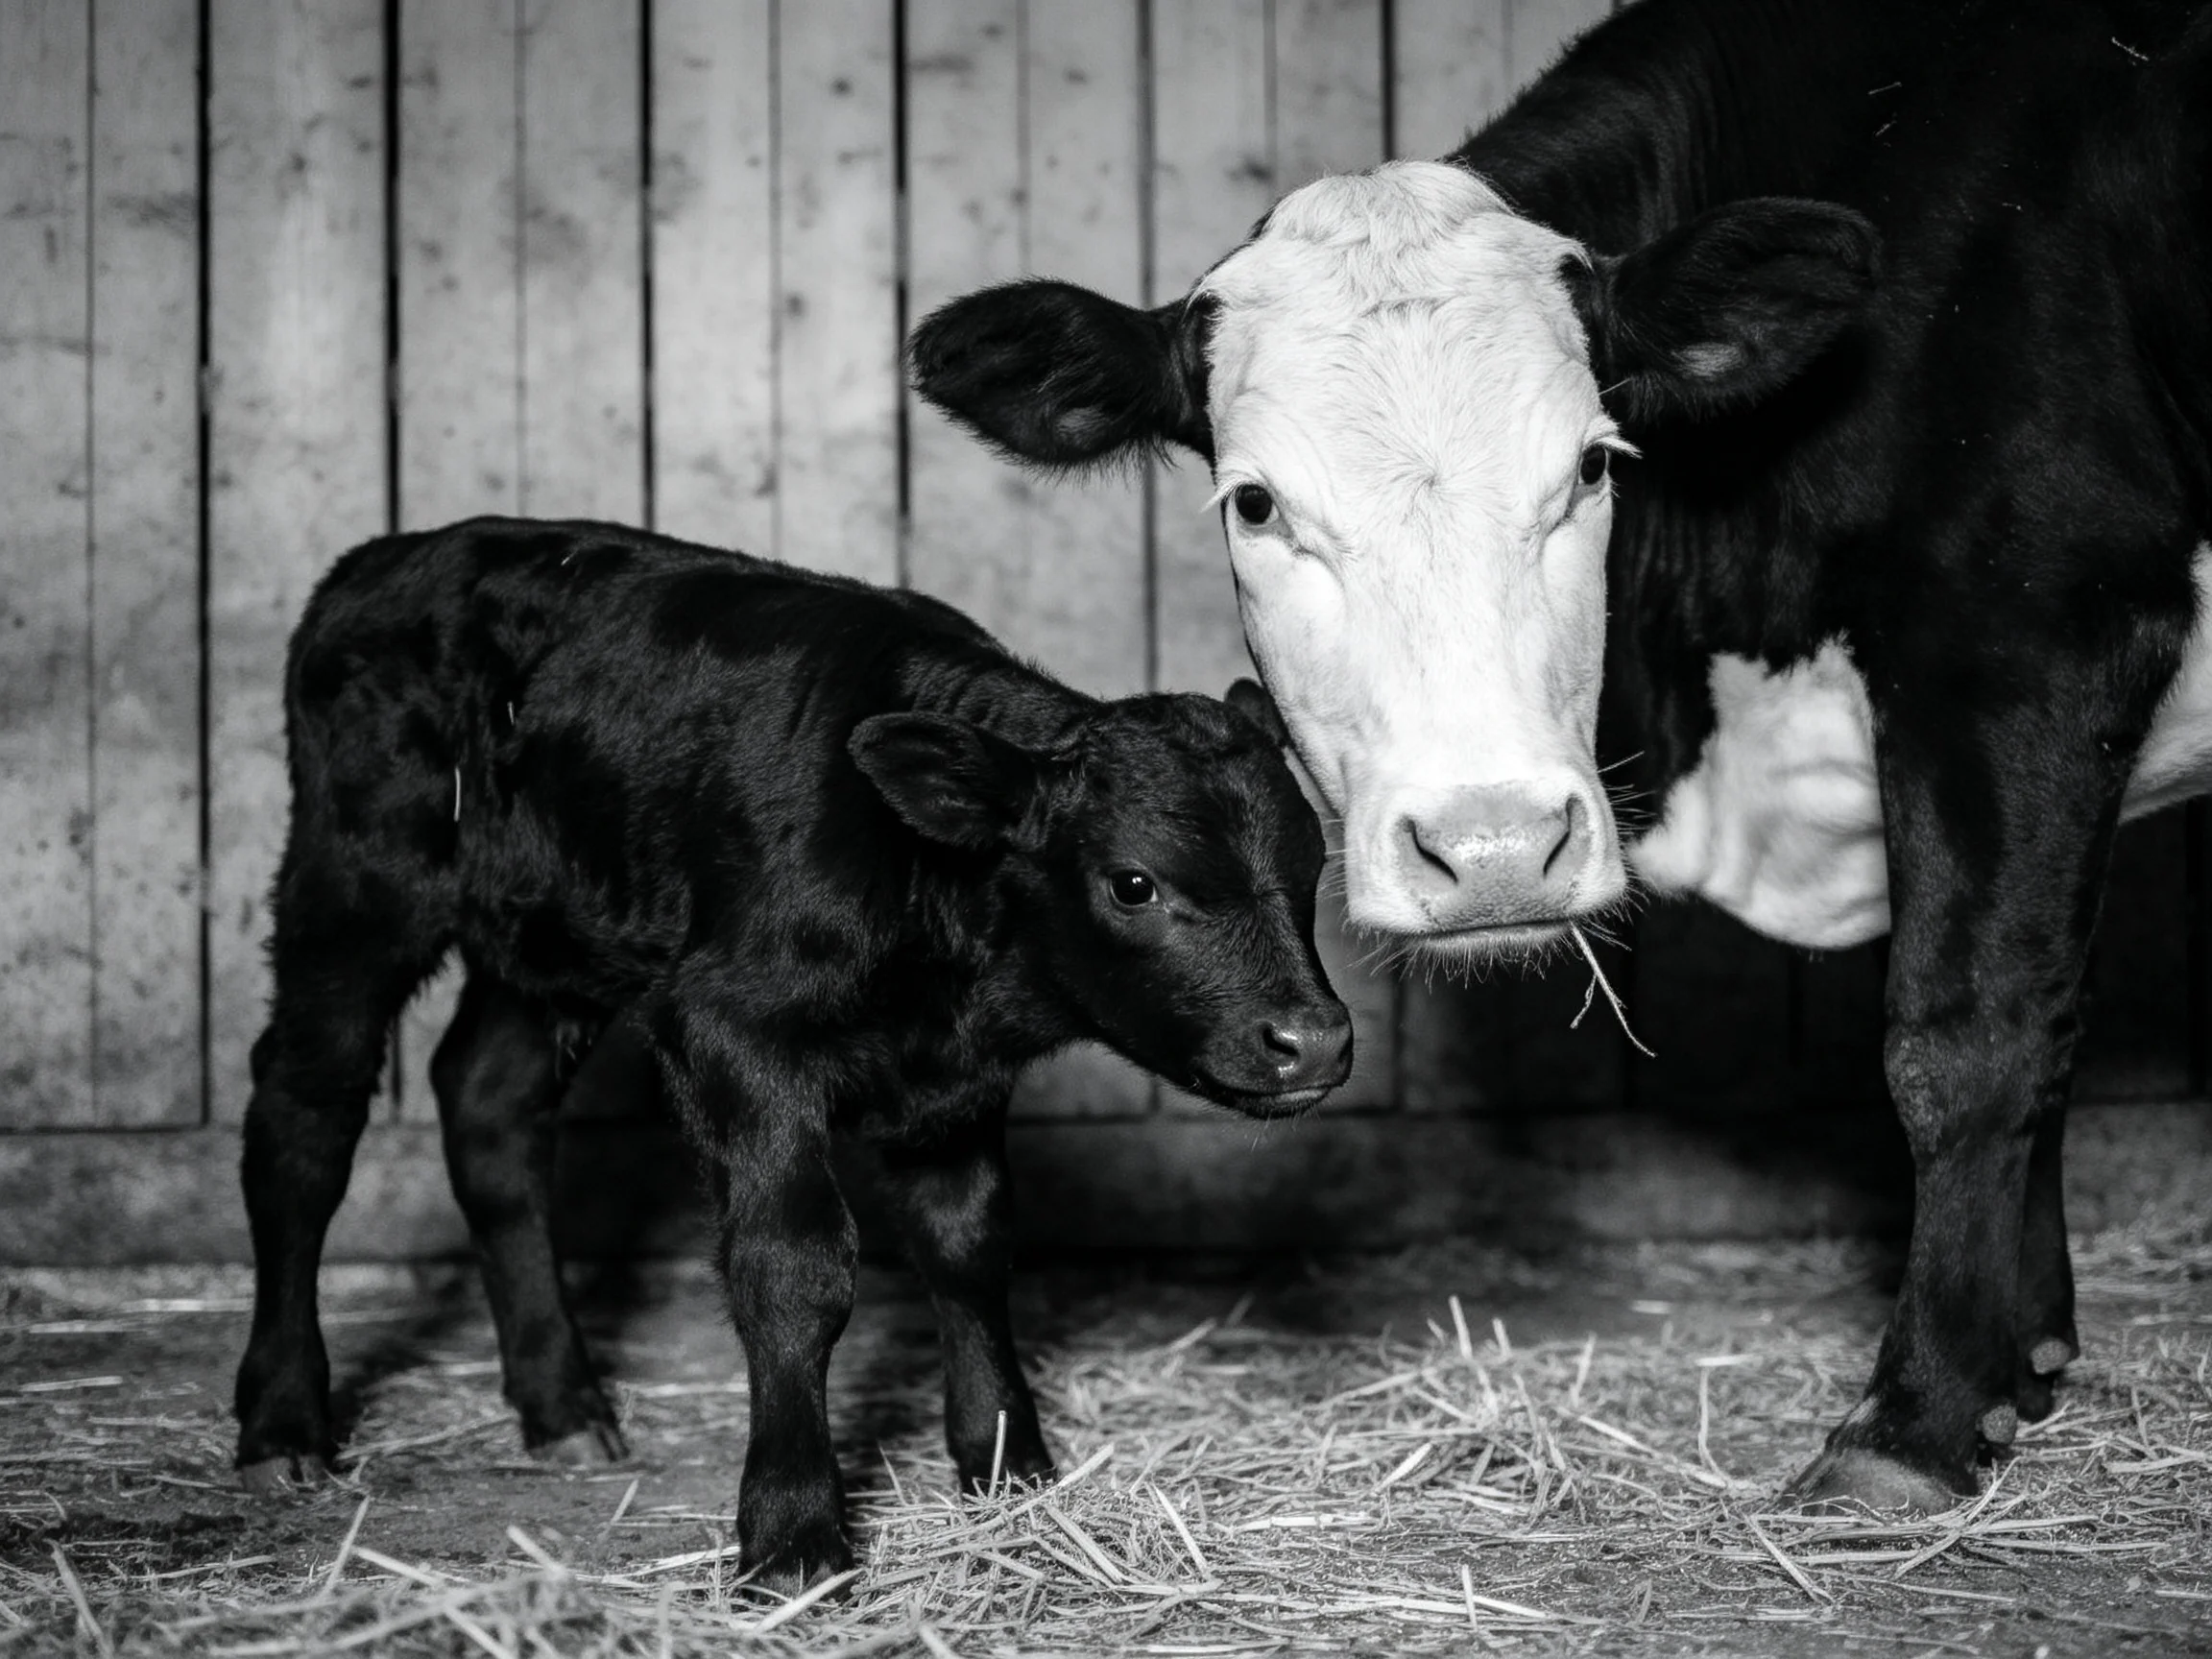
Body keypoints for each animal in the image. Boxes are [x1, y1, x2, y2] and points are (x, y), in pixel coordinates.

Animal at [230, 517, 1352, 1588]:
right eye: (1134, 883)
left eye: (1311, 867)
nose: (1315, 1040)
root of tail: (390, 557)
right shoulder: (730, 1030)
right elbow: (794, 1266)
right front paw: (793, 1536)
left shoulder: (955, 1082)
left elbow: (970, 1243)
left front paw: (1007, 1470)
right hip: (357, 882)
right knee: (303, 1118)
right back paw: (284, 1422)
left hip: (547, 941)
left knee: (487, 1106)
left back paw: (562, 1408)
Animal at [908, 0, 2212, 1512]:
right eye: (1254, 502)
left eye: (1594, 465)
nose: (1490, 851)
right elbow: (2040, 1013)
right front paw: (2025, 1361)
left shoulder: (2037, 619)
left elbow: (1971, 1032)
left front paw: (1920, 1420)